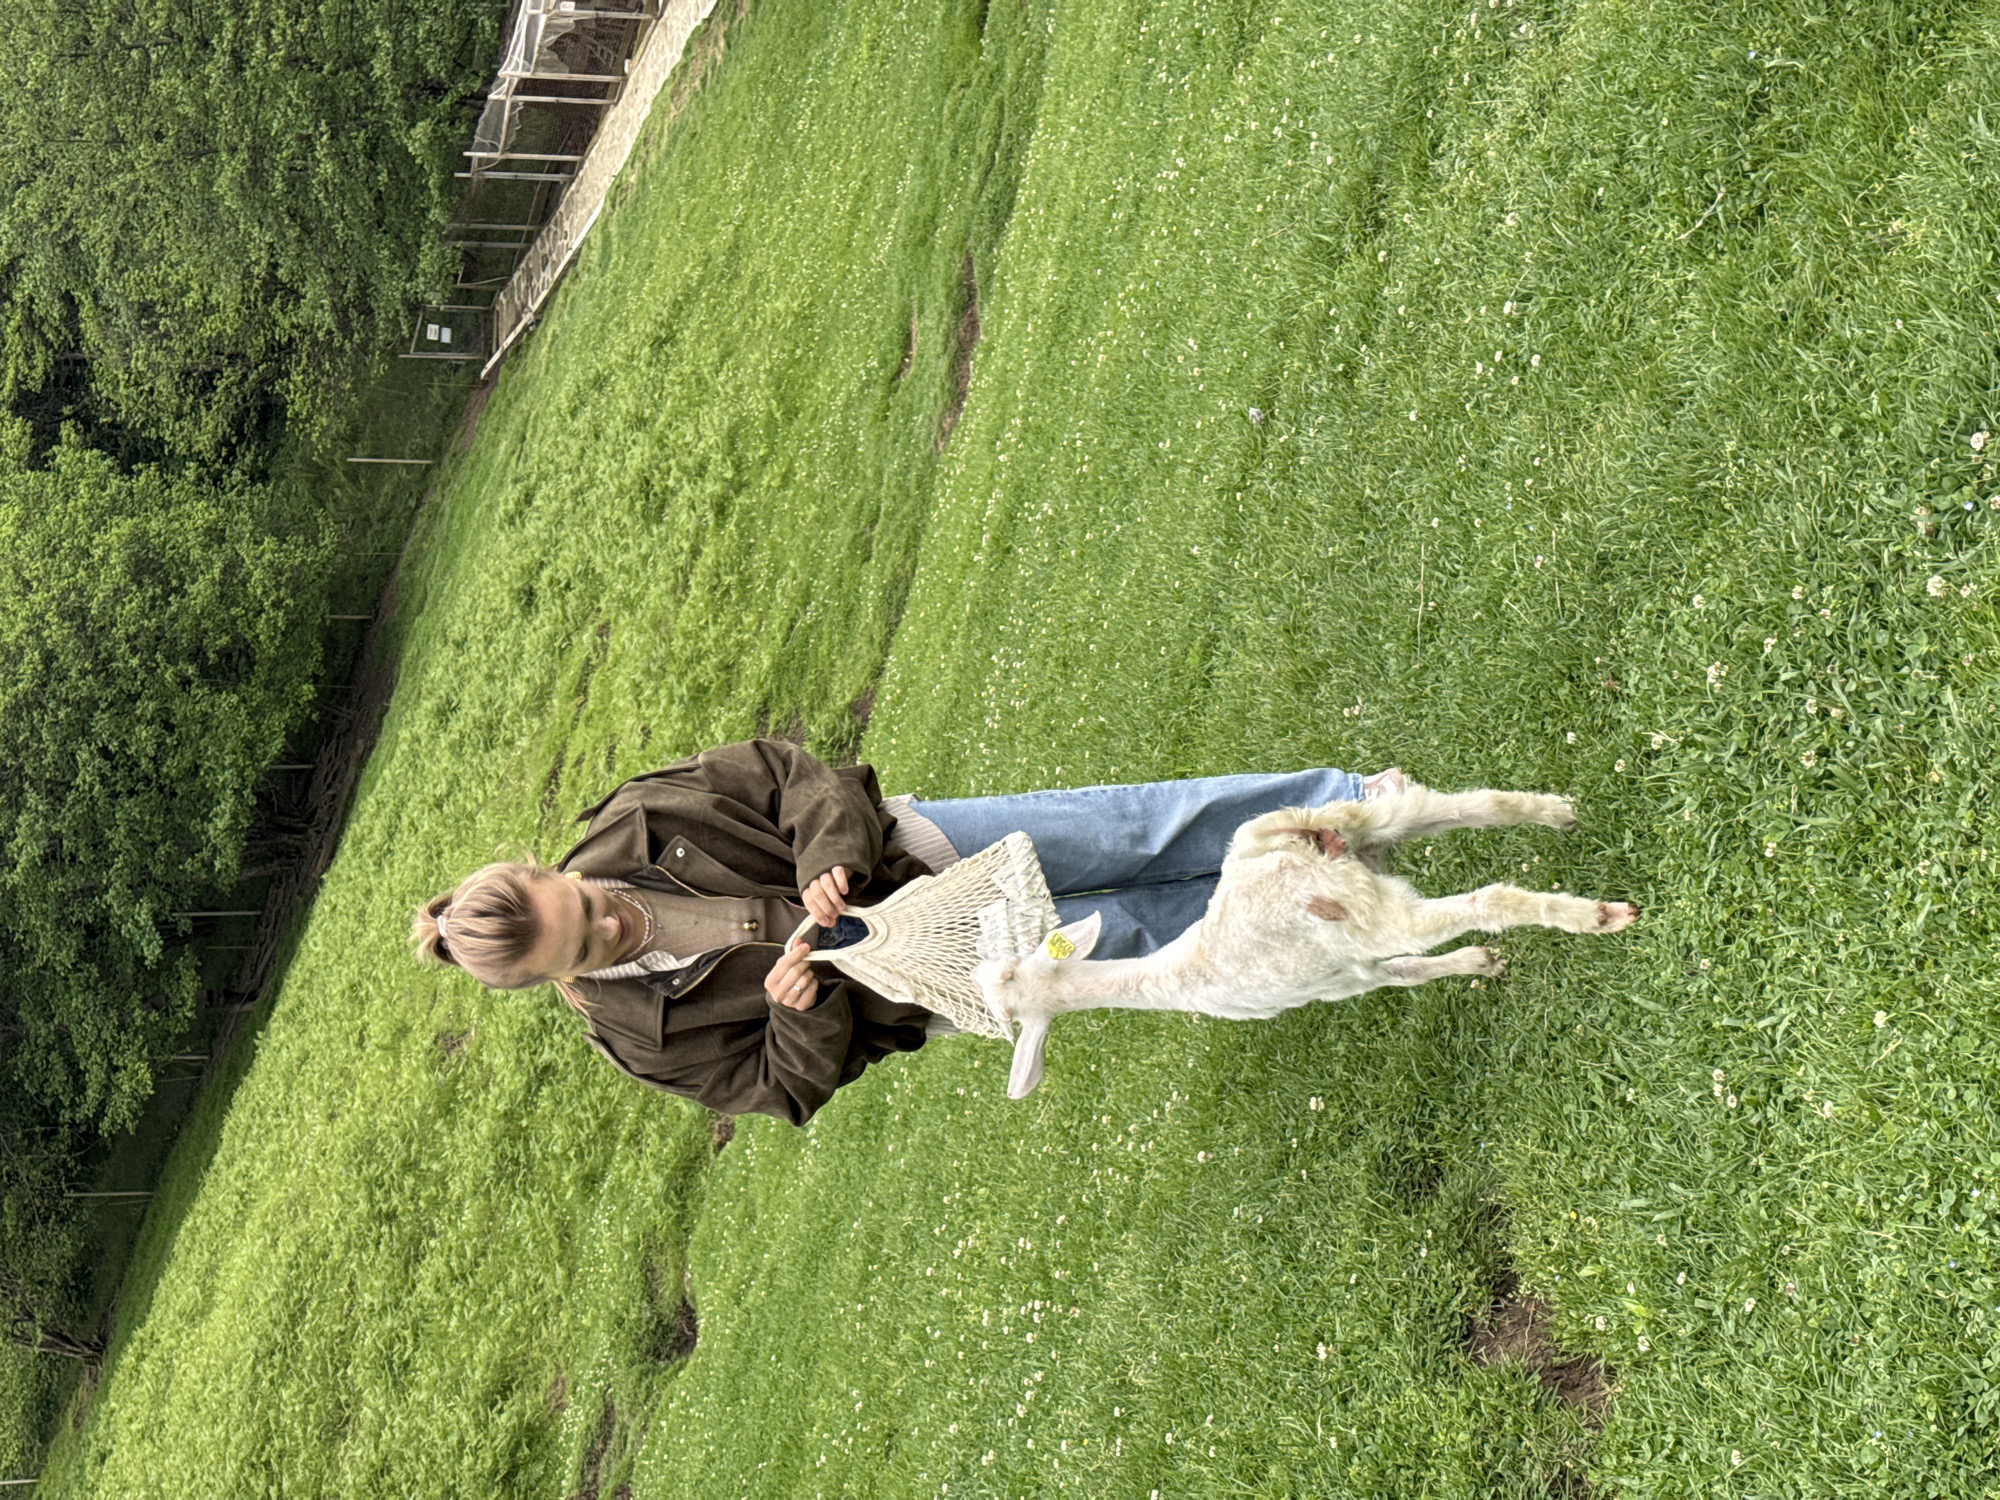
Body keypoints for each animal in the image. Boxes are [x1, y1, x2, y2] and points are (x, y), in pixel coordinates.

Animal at [971, 786, 1638, 1098]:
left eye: (1006, 993)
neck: (1170, 979)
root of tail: (1285, 849)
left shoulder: (1328, 977)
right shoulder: (1349, 977)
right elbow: (1406, 974)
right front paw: (1481, 963)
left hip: (1363, 912)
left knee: (1485, 901)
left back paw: (1602, 916)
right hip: (1362, 826)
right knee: (1475, 805)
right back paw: (1560, 814)